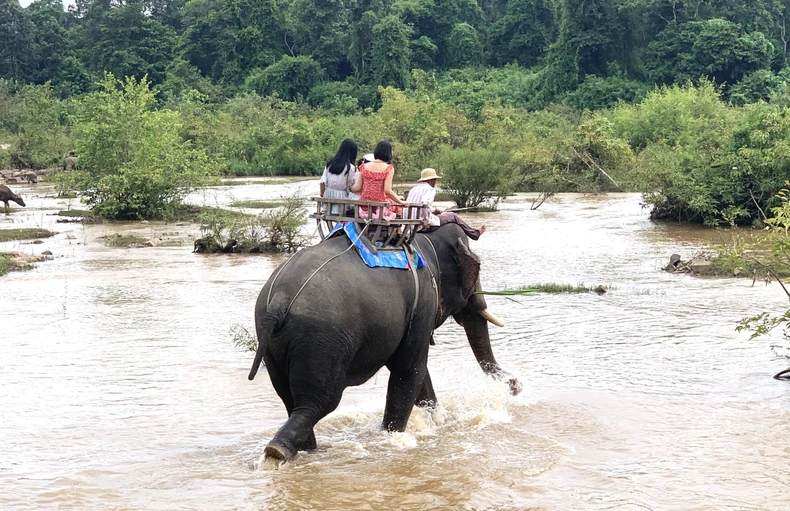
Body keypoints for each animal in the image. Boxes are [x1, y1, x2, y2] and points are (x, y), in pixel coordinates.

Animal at [248, 223, 520, 460]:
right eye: (476, 272)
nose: (516, 384)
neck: (426, 240)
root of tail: (280, 299)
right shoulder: (423, 301)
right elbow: (409, 369)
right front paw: (394, 435)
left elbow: (418, 372)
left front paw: (439, 421)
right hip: (322, 340)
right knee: (317, 403)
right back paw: (278, 451)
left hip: (274, 341)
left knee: (289, 398)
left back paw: (302, 451)